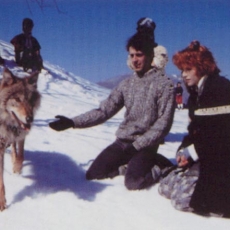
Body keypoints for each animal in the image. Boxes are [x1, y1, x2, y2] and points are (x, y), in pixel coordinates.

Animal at [0, 68, 40, 210]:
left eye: (31, 99)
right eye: (17, 99)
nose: (30, 119)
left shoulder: (21, 136)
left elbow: (21, 156)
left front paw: (17, 169)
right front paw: (2, 203)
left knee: (14, 149)